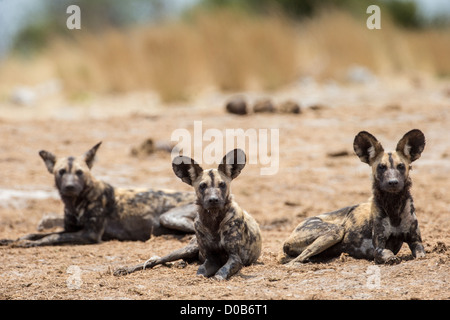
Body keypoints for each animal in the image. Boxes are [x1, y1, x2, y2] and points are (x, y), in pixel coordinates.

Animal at [1, 142, 197, 248]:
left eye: (80, 172)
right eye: (61, 172)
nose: (70, 186)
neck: (75, 203)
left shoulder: (90, 234)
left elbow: (50, 237)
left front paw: (31, 244)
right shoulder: (71, 229)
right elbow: (34, 234)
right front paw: (14, 240)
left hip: (168, 217)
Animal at [114, 150, 262, 280]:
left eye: (222, 184)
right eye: (202, 186)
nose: (213, 200)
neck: (213, 221)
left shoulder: (235, 258)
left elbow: (221, 272)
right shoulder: (210, 258)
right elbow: (201, 271)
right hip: (187, 249)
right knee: (156, 260)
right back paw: (126, 269)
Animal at [280, 129, 428, 264]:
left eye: (401, 166)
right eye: (381, 167)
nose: (392, 182)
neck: (394, 206)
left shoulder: (416, 242)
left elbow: (421, 254)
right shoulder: (378, 248)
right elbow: (387, 252)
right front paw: (391, 258)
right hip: (335, 232)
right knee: (296, 260)